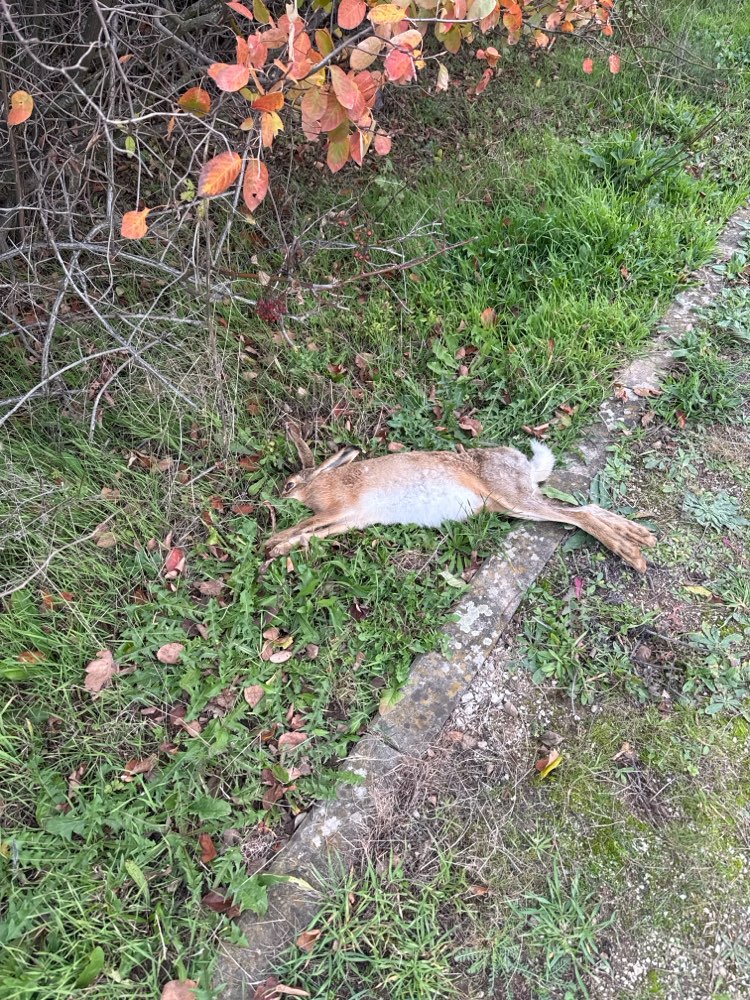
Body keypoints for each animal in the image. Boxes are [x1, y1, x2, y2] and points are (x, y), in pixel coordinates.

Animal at [265, 427, 657, 571]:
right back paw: (643, 537)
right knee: (583, 509)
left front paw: (271, 543)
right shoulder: (349, 519)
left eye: (289, 484)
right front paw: (279, 549)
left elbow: (306, 525)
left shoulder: (339, 508)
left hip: (512, 496)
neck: (321, 481)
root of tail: (526, 466)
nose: (278, 496)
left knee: (581, 515)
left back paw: (634, 555)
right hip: (512, 506)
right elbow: (312, 534)